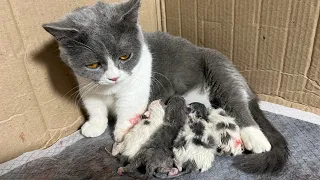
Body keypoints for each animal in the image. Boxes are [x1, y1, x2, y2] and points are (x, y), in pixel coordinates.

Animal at [42, 0, 290, 174]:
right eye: (93, 64)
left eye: (125, 56)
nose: (113, 77)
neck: (109, 90)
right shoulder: (86, 86)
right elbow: (95, 108)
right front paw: (94, 126)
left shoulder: (135, 89)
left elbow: (127, 109)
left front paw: (122, 132)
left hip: (218, 68)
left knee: (237, 104)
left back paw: (257, 139)